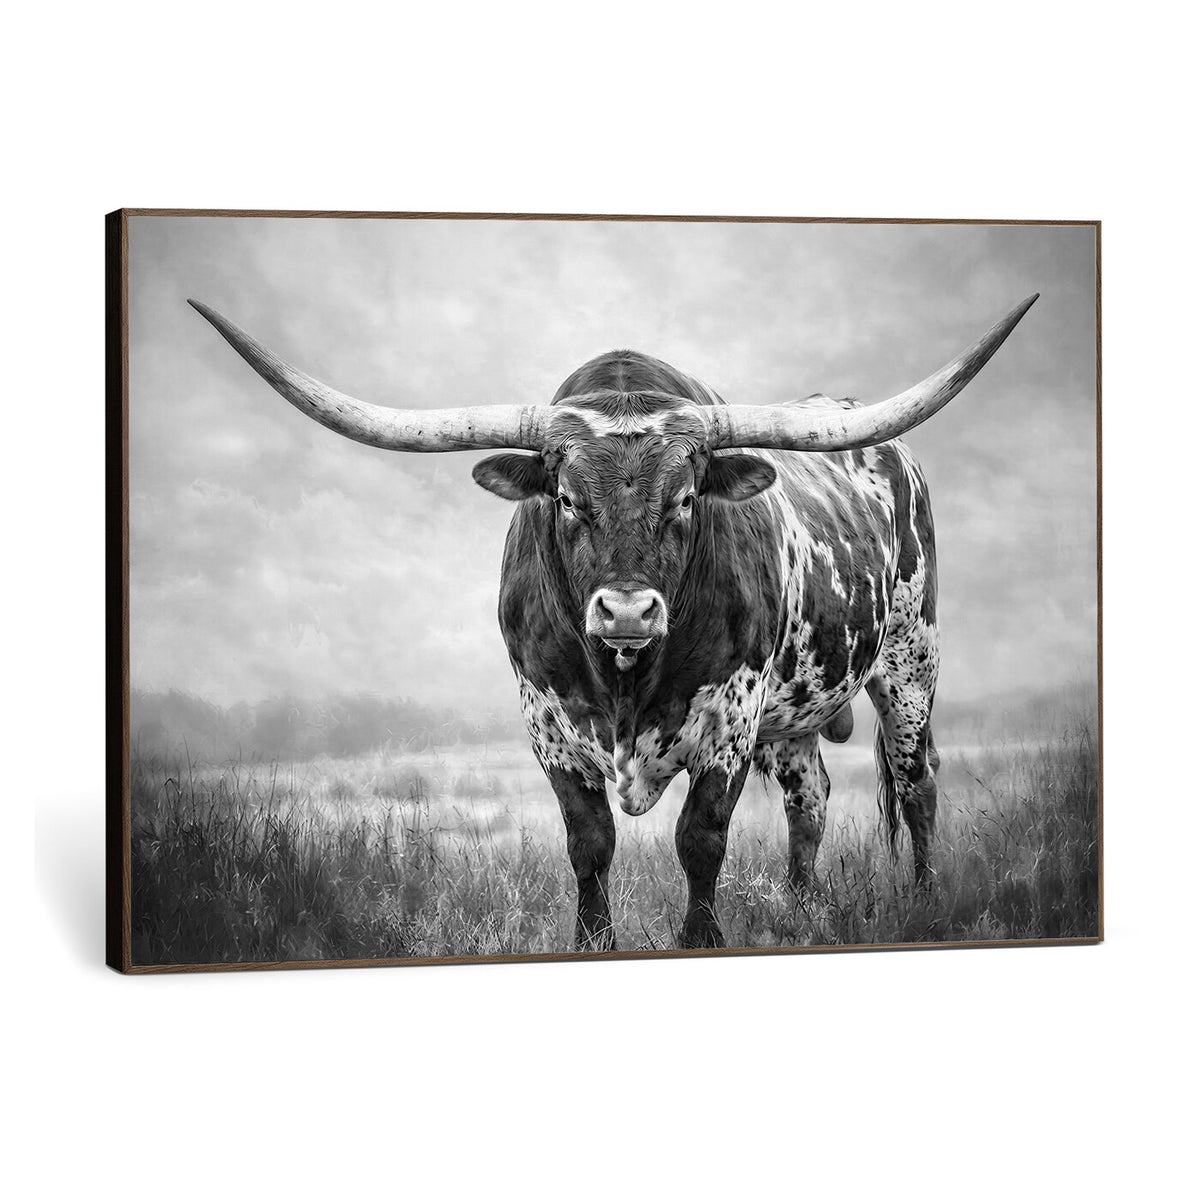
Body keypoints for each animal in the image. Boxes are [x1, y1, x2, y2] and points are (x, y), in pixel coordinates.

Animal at [190, 293, 1037, 950]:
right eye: (566, 498)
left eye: (687, 498)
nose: (627, 609)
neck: (626, 676)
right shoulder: (547, 723)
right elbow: (589, 845)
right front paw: (592, 941)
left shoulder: (730, 721)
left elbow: (701, 840)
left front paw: (702, 939)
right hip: (795, 713)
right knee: (812, 798)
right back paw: (802, 909)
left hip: (910, 662)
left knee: (916, 781)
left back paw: (924, 900)